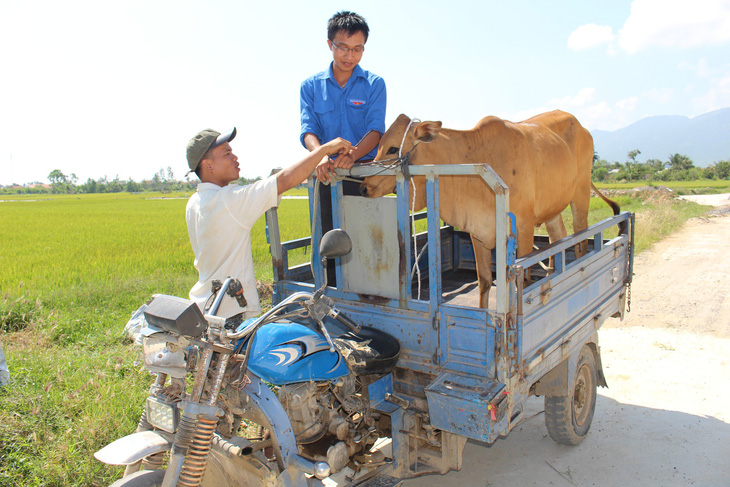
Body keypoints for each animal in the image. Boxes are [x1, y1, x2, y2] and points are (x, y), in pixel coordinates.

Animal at [362, 111, 616, 308]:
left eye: (393, 148)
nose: (364, 186)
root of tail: (582, 127)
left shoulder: (523, 228)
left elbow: (523, 279)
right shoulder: (478, 231)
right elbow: (484, 280)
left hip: (580, 196)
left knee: (580, 243)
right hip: (552, 209)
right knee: (558, 239)